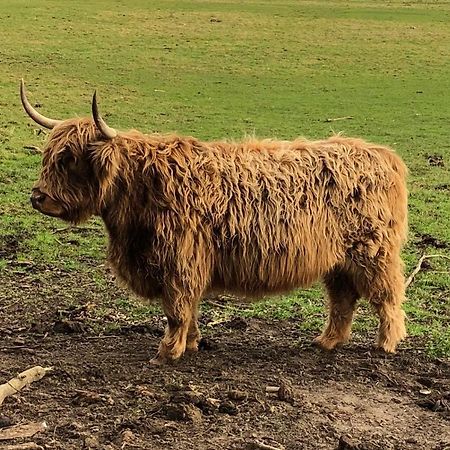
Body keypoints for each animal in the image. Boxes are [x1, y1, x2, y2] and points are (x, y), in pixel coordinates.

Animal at [20, 80, 408, 362]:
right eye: (48, 155)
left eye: (69, 158)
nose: (38, 197)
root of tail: (382, 155)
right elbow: (189, 309)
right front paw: (190, 344)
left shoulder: (179, 262)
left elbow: (176, 308)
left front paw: (167, 352)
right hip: (339, 261)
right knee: (343, 299)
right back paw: (327, 341)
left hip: (373, 253)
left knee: (386, 296)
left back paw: (385, 344)